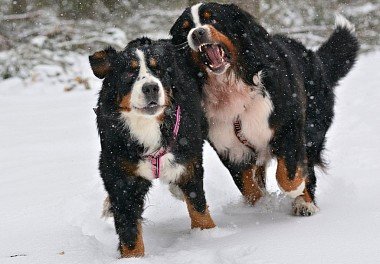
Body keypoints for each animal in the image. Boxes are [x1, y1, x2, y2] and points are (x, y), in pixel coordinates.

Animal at [89, 37, 214, 258]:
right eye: (129, 72)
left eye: (159, 70)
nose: (150, 88)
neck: (146, 126)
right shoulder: (120, 174)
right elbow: (128, 227)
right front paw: (133, 258)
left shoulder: (188, 162)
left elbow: (198, 207)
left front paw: (207, 236)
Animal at [171, 2, 360, 216]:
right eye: (185, 28)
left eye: (212, 18)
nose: (197, 33)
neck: (232, 88)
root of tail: (313, 56)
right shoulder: (230, 148)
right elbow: (248, 187)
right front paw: (260, 204)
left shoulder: (289, 126)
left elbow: (288, 174)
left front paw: (297, 190)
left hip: (313, 127)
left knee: (309, 165)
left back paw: (305, 203)